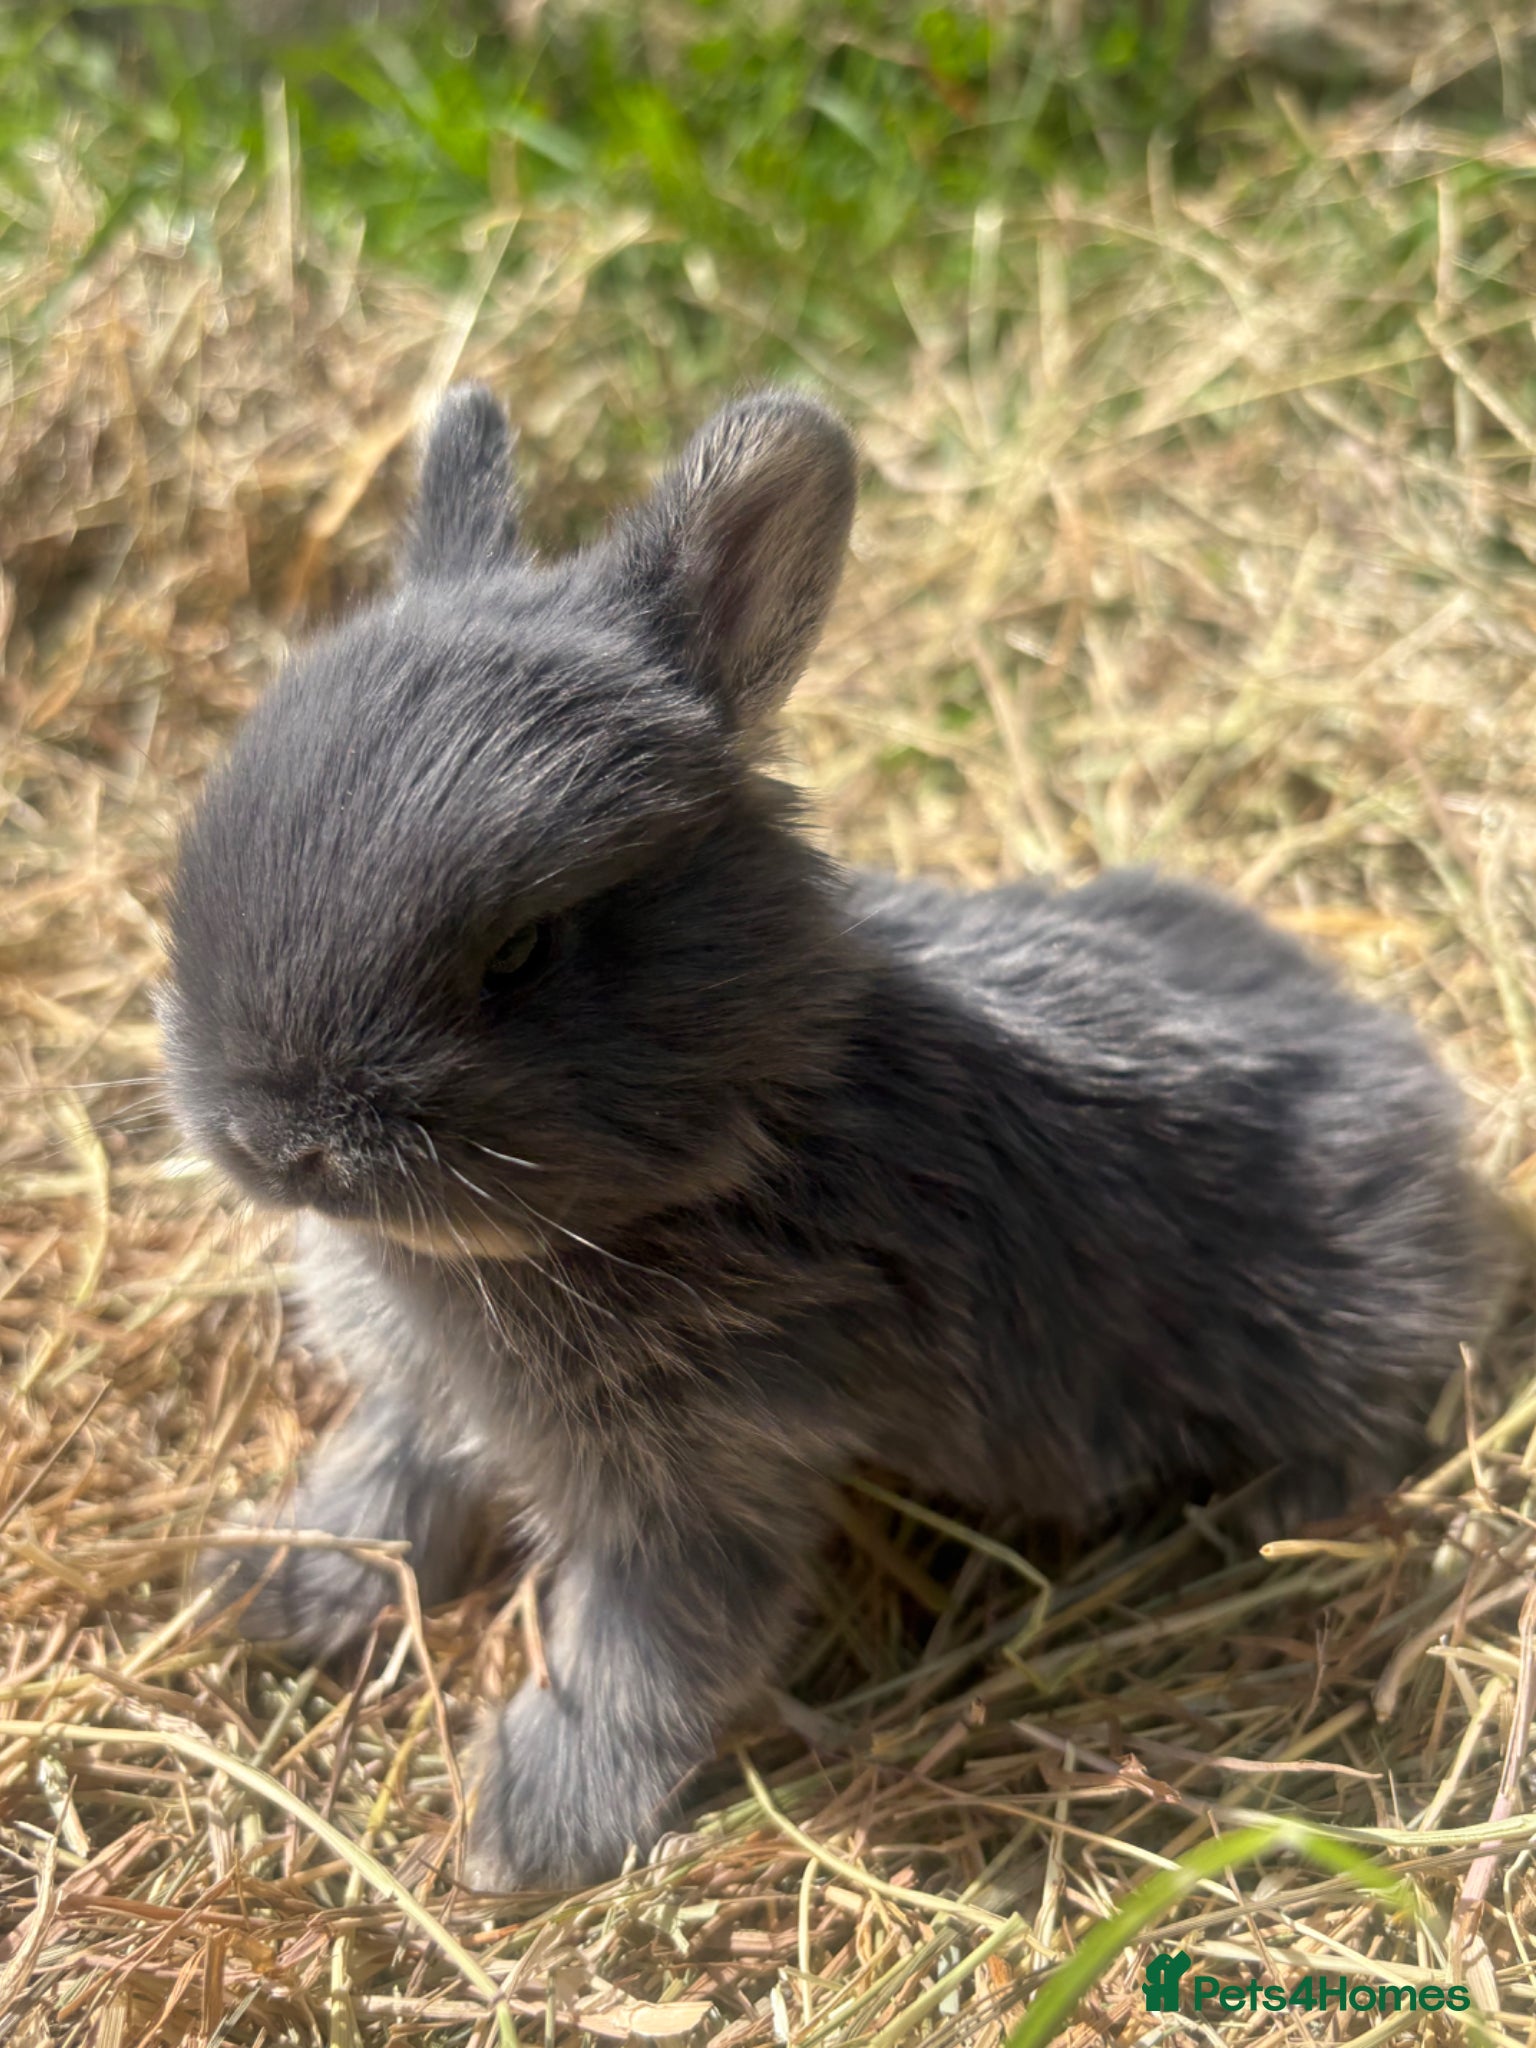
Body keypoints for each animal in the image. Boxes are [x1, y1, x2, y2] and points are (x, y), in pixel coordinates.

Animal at [163, 383, 1504, 1891]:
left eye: (520, 952)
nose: (273, 1140)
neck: (738, 1131)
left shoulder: (699, 1489)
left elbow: (634, 1661)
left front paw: (529, 1833)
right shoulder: (425, 1405)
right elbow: (374, 1489)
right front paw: (266, 1590)